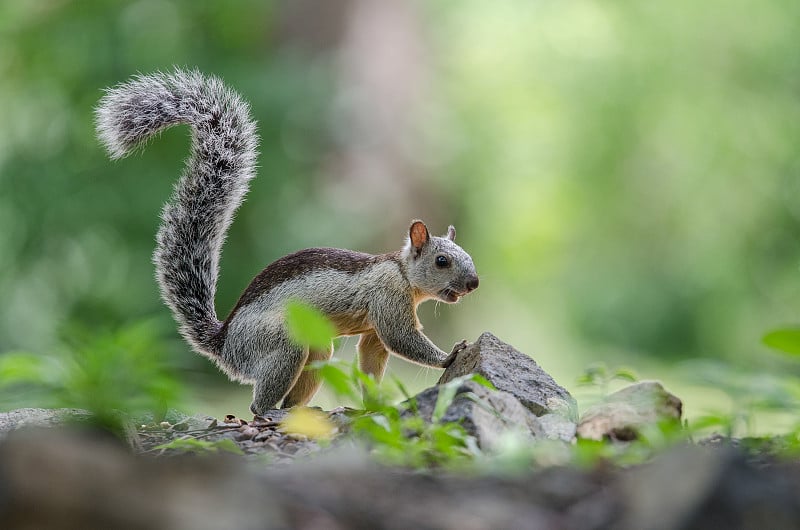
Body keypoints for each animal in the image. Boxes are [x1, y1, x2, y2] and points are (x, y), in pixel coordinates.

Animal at [96, 69, 478, 412]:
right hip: (282, 344)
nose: (473, 283)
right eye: (441, 261)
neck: (402, 273)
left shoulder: (374, 328)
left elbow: (371, 359)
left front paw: (373, 402)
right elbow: (402, 340)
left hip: (317, 351)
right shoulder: (388, 298)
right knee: (258, 404)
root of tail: (224, 345)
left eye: (467, 256)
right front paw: (450, 357)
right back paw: (271, 412)